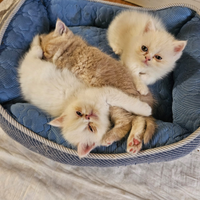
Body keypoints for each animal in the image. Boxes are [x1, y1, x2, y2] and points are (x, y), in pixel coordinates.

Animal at [18, 35, 152, 158]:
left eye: (78, 113)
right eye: (90, 128)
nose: (88, 116)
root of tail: (22, 73)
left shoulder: (106, 92)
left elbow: (130, 103)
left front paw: (146, 109)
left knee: (35, 50)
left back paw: (37, 39)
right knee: (133, 120)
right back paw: (132, 142)